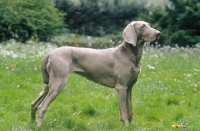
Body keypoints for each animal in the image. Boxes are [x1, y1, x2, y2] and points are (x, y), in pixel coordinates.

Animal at [31, 20, 160, 126]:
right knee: (42, 106)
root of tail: (50, 53)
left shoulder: (129, 88)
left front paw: (132, 125)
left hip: (50, 83)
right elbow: (123, 110)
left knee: (34, 103)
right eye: (142, 26)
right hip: (59, 82)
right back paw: (39, 126)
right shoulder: (121, 87)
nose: (158, 33)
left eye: (149, 25)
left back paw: (32, 123)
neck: (131, 55)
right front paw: (126, 126)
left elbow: (130, 108)